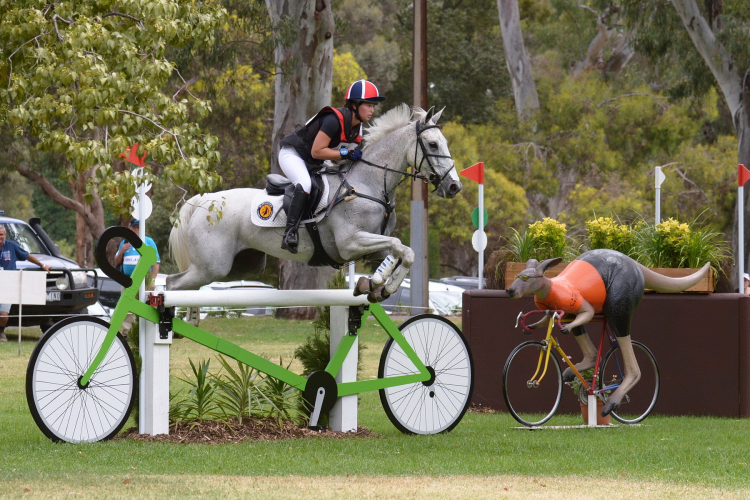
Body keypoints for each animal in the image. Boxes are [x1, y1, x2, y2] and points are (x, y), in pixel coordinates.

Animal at [170, 104, 462, 300]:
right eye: (433, 144)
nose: (454, 186)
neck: (368, 183)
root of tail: (204, 201)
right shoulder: (350, 243)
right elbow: (399, 246)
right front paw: (378, 281)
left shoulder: (370, 247)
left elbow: (404, 252)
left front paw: (378, 287)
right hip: (211, 267)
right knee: (172, 285)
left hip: (237, 267)